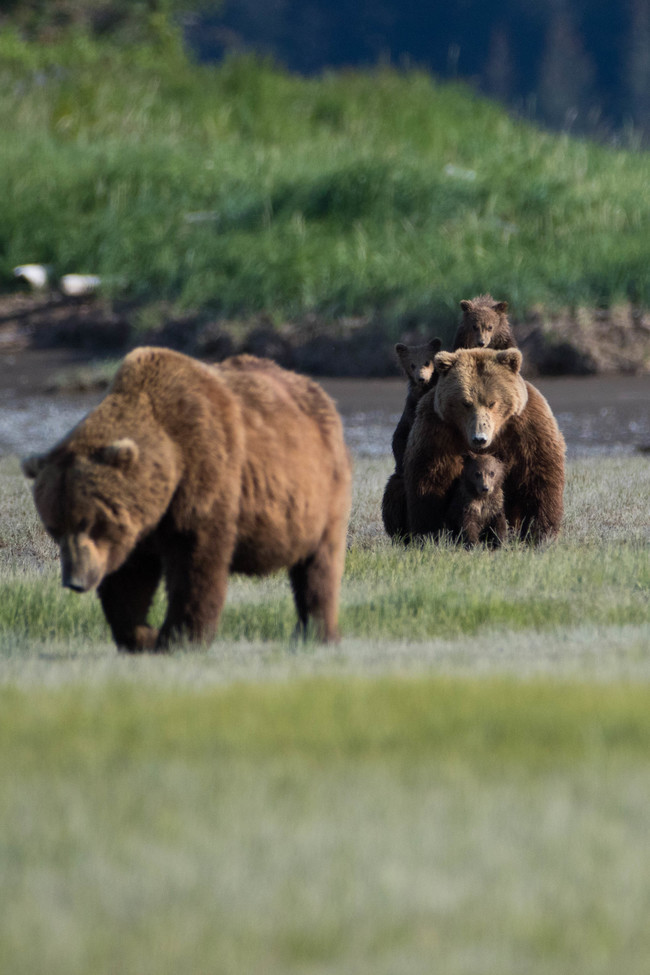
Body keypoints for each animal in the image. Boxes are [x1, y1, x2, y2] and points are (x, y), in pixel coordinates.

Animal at [22, 348, 352, 651]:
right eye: (54, 527)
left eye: (90, 522)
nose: (74, 580)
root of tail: (317, 390)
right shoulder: (140, 527)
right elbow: (128, 582)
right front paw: (143, 636)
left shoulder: (203, 475)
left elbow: (195, 564)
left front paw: (180, 637)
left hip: (324, 493)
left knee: (318, 567)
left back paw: (318, 633)